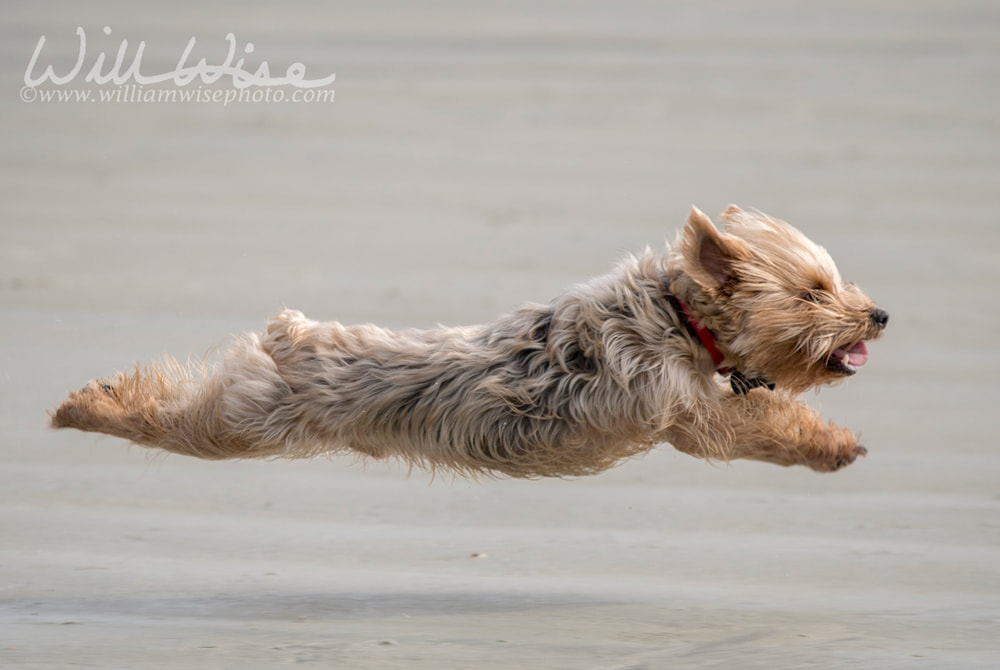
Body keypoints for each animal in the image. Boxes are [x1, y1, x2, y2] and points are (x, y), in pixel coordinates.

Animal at [48, 207, 892, 480]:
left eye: (836, 282)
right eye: (814, 291)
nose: (880, 315)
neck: (681, 320)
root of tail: (291, 336)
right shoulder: (690, 415)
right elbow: (768, 423)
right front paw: (835, 446)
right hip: (246, 421)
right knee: (172, 415)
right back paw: (86, 407)